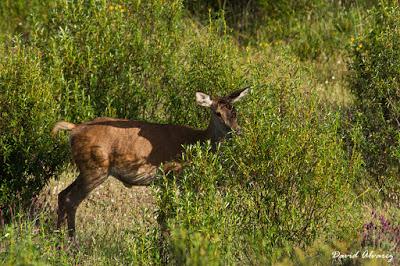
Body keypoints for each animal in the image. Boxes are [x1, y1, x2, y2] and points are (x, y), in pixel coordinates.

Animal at [51, 88, 248, 239]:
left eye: (235, 112)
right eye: (217, 113)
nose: (237, 131)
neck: (194, 141)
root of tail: (74, 129)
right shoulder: (170, 173)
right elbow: (165, 216)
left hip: (86, 170)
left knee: (62, 194)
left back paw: (57, 239)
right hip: (95, 168)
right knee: (71, 200)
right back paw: (71, 243)